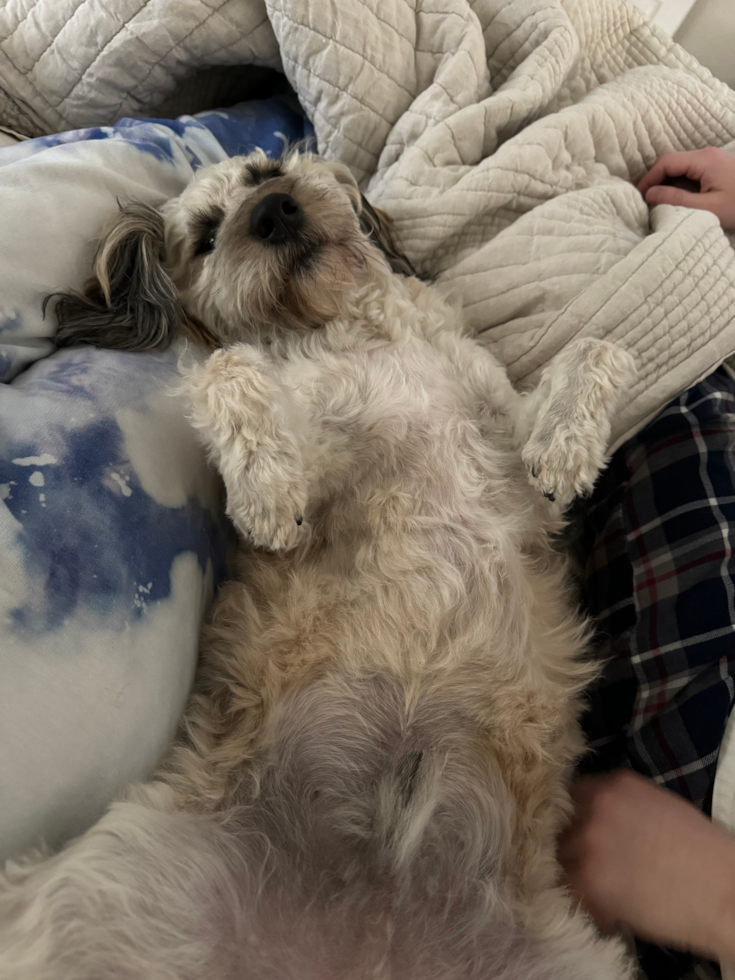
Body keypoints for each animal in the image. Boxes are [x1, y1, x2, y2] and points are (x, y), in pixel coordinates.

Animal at [1, 151, 640, 980]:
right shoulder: (321, 460)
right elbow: (227, 367)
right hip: (105, 891)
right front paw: (267, 489)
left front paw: (567, 445)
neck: (352, 330)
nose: (273, 211)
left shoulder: (517, 481)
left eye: (266, 169)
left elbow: (594, 347)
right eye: (206, 236)